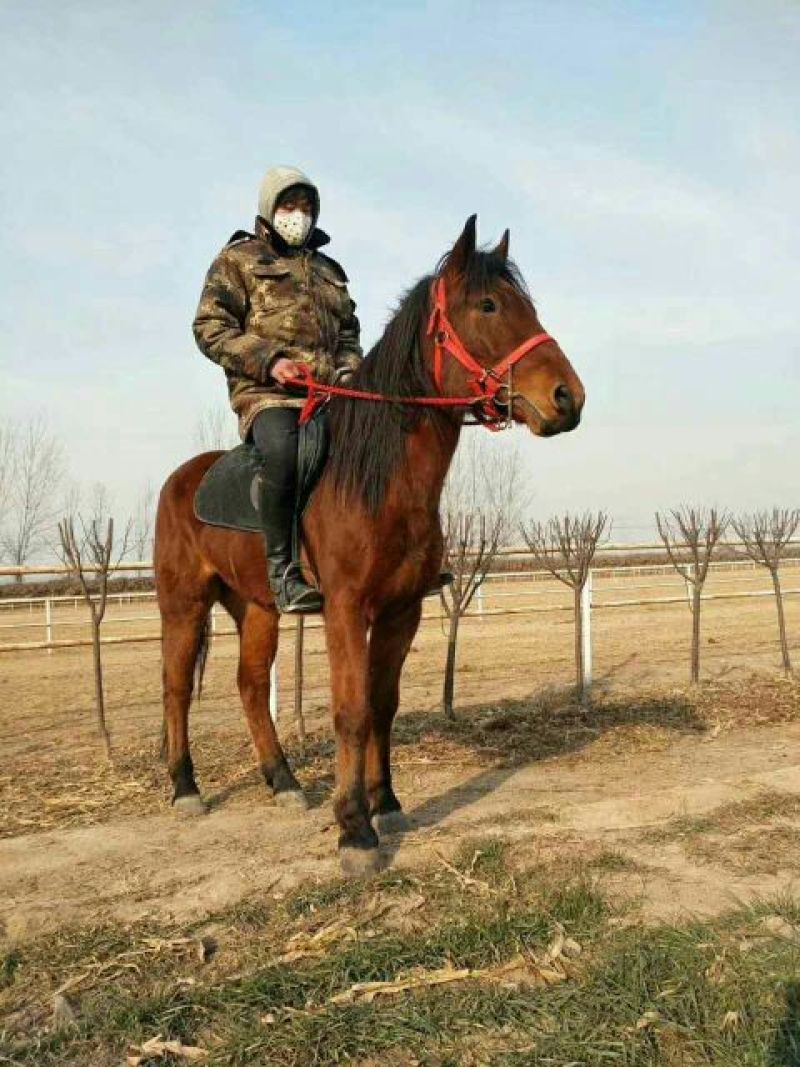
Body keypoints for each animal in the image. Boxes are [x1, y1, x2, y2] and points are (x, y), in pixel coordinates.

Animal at [153, 216, 584, 874]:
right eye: (488, 305)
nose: (568, 398)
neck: (376, 482)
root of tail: (182, 479)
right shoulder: (346, 611)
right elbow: (352, 712)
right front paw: (354, 828)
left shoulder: (402, 610)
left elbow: (383, 705)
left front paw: (387, 804)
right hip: (184, 605)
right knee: (177, 688)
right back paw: (185, 789)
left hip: (257, 608)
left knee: (250, 686)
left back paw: (283, 783)